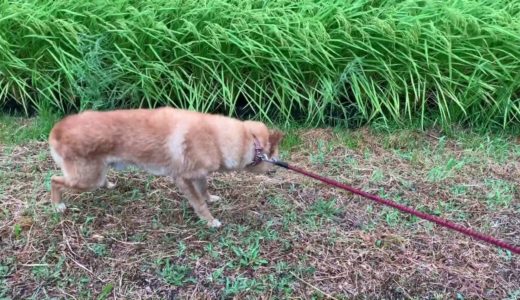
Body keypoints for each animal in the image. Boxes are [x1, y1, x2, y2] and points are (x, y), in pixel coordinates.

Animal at [47, 108, 284, 227]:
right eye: (273, 155)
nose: (278, 167)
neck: (217, 137)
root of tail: (57, 129)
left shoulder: (199, 175)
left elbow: (204, 190)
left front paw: (211, 198)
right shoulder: (182, 179)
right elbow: (199, 204)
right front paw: (210, 221)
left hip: (95, 174)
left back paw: (108, 184)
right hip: (86, 180)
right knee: (54, 181)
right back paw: (58, 205)